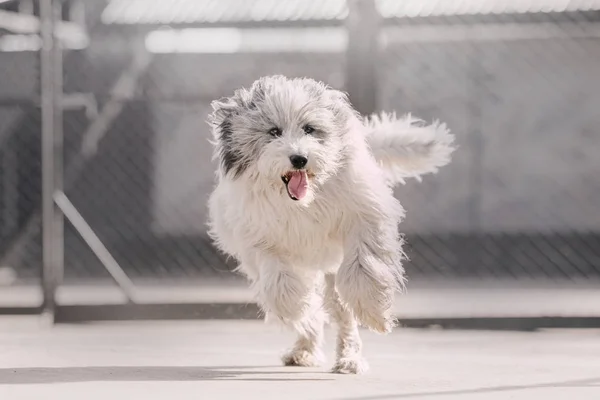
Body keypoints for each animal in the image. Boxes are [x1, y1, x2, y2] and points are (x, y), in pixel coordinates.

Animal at [207, 76, 454, 376]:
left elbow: (364, 267)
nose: (299, 158)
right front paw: (297, 307)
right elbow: (279, 281)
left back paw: (349, 359)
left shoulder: (364, 217)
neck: (303, 202)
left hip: (331, 269)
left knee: (343, 313)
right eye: (273, 131)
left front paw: (375, 312)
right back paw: (303, 348)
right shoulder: (259, 238)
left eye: (309, 129)